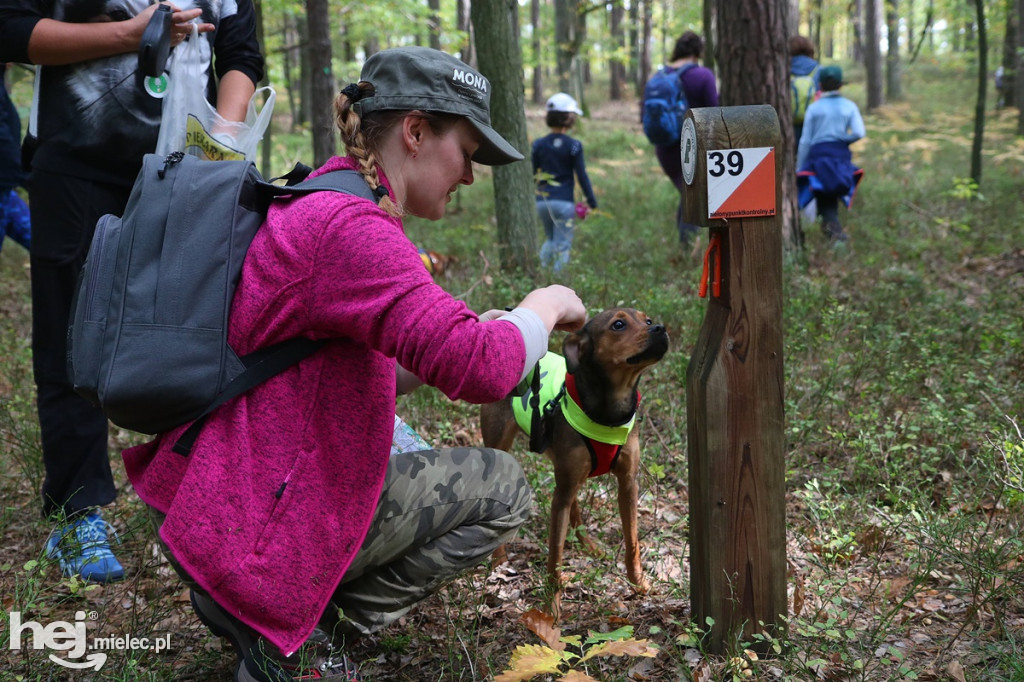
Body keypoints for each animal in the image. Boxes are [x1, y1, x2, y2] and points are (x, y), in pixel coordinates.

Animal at [481, 307, 671, 614]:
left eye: (648, 320)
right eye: (618, 324)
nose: (660, 329)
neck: (609, 411)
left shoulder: (628, 483)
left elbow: (632, 541)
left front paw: (639, 584)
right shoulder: (565, 489)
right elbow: (555, 557)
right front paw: (551, 609)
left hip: (568, 472)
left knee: (574, 503)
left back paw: (588, 544)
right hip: (503, 447)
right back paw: (498, 560)